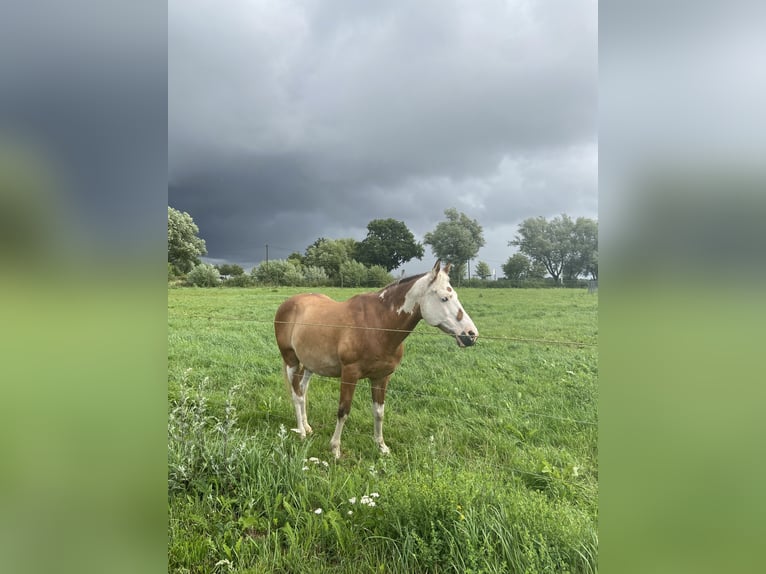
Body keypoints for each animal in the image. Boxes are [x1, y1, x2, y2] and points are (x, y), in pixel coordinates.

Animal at [274, 260, 479, 459]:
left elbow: (379, 412)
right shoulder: (349, 374)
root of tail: (288, 303)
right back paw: (301, 432)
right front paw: (335, 449)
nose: (471, 334)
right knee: (296, 395)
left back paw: (307, 427)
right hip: (291, 360)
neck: (378, 325)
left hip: (310, 365)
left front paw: (381, 446)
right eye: (444, 298)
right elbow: (343, 411)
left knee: (303, 390)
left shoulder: (382, 377)